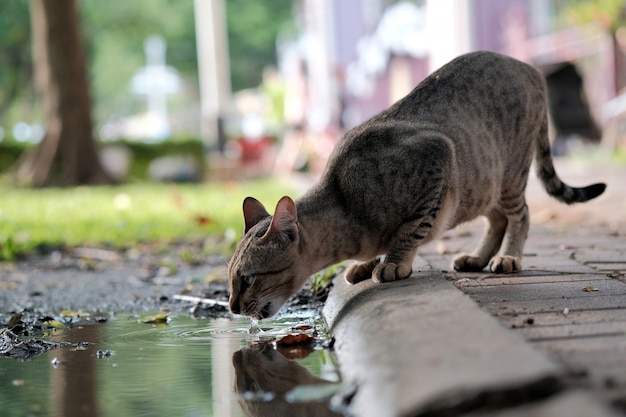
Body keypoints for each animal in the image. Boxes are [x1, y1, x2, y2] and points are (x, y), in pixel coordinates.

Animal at [227, 52, 604, 318]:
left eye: (247, 279)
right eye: (231, 279)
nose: (231, 307)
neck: (346, 205)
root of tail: (529, 68)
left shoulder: (437, 157)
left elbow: (411, 231)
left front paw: (393, 262)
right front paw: (366, 264)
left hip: (508, 175)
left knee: (520, 216)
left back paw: (509, 256)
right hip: (485, 185)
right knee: (497, 220)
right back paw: (478, 257)